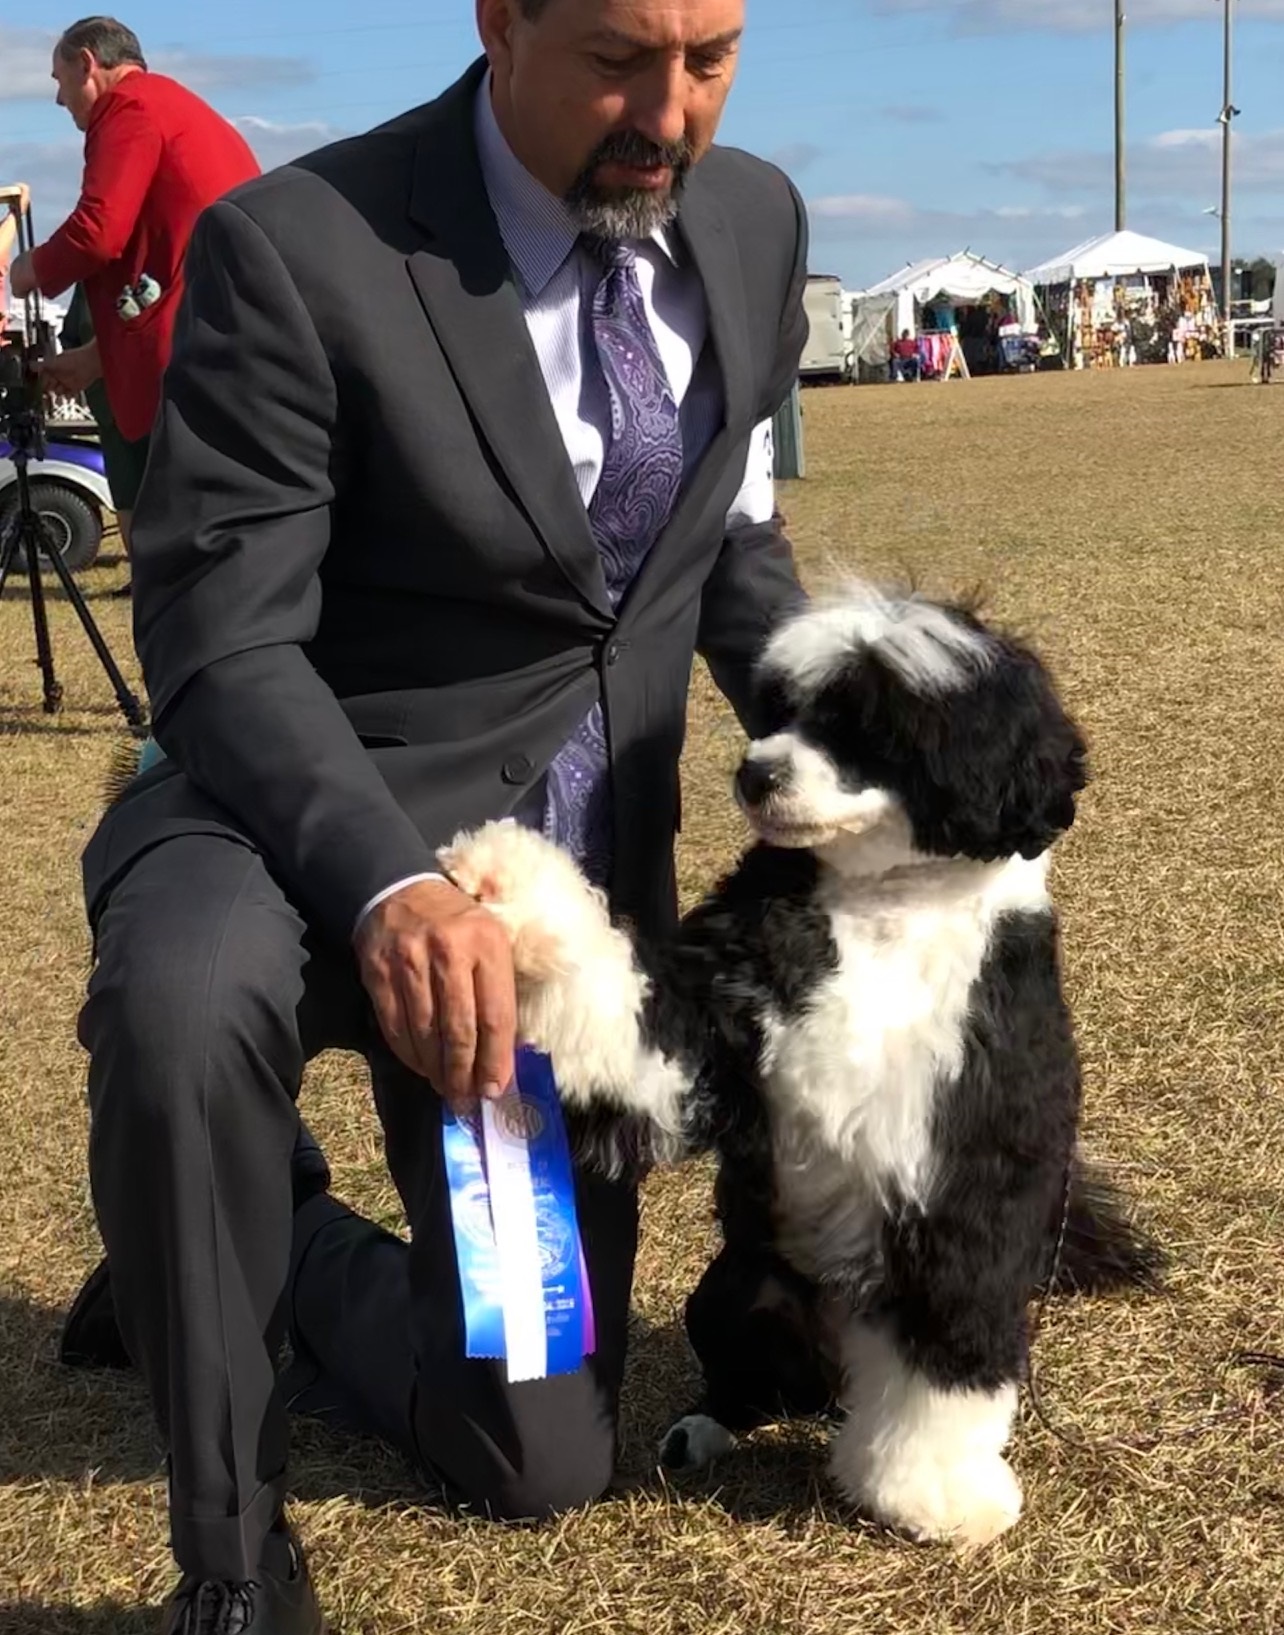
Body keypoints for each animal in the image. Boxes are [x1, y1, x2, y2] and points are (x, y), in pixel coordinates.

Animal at [438, 585, 1151, 1543]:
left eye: (863, 724)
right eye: (781, 708)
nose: (756, 772)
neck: (884, 904)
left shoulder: (970, 1176)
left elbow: (951, 1356)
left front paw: (932, 1491)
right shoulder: (706, 1039)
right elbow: (623, 1011)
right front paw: (507, 878)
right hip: (739, 1292)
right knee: (753, 1381)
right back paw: (703, 1429)